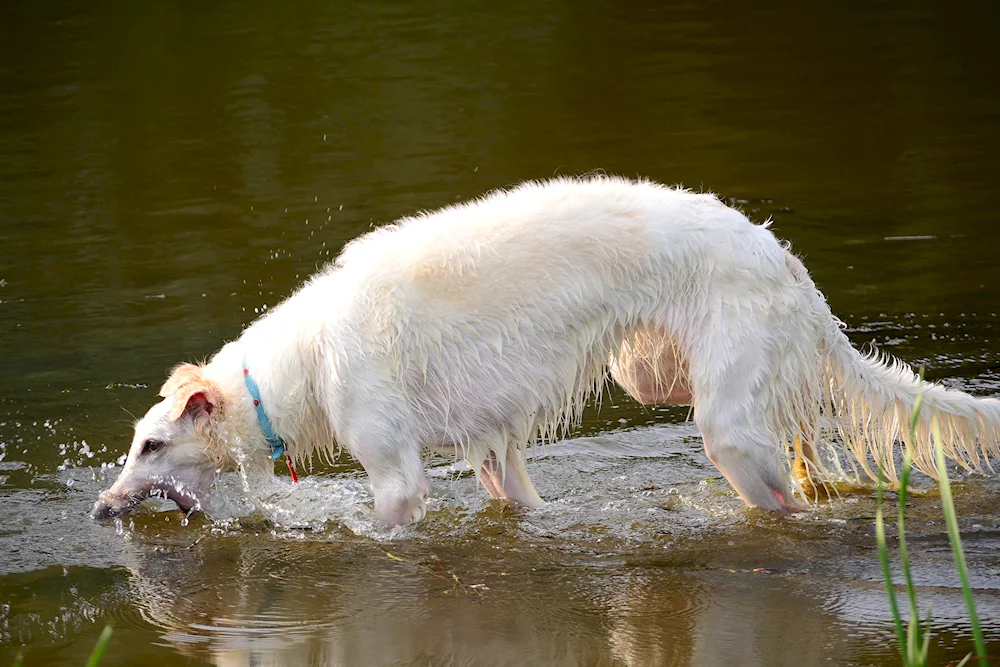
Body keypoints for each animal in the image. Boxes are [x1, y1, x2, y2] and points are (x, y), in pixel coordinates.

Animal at [92, 177, 1000, 528]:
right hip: (657, 375)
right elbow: (520, 497)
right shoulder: (497, 457)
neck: (301, 362)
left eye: (153, 444)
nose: (101, 509)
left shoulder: (395, 472)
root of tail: (784, 258)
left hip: (730, 430)